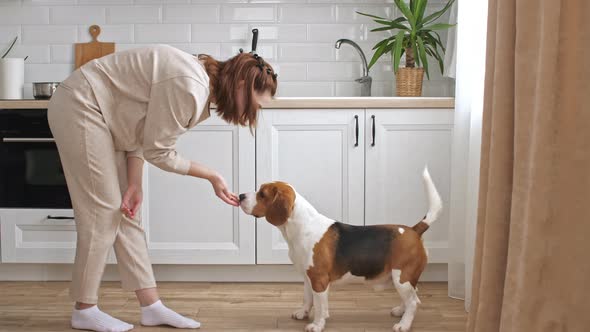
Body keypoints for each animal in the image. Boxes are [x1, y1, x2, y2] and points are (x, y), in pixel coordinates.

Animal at [238, 169, 442, 332]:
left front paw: (317, 325)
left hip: (402, 276)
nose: (240, 196)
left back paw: (404, 324)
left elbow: (320, 306)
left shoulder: (319, 279)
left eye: (262, 194)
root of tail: (413, 230)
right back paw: (400, 311)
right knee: (412, 297)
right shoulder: (307, 276)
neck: (302, 226)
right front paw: (303, 313)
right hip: (402, 278)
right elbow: (307, 299)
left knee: (414, 302)